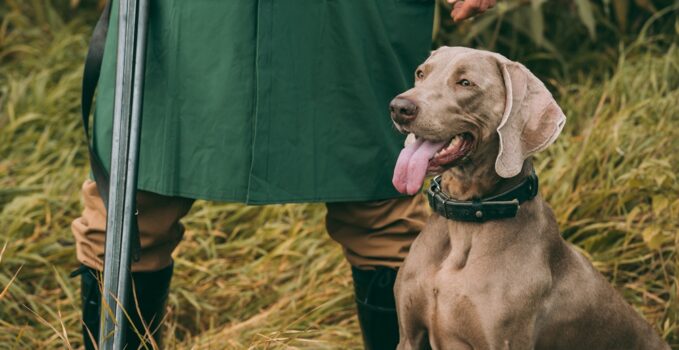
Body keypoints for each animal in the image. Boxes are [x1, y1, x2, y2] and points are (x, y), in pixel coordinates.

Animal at [388, 47, 668, 350]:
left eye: (465, 83)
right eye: (420, 73)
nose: (399, 107)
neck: (466, 219)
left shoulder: (506, 341)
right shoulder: (408, 338)